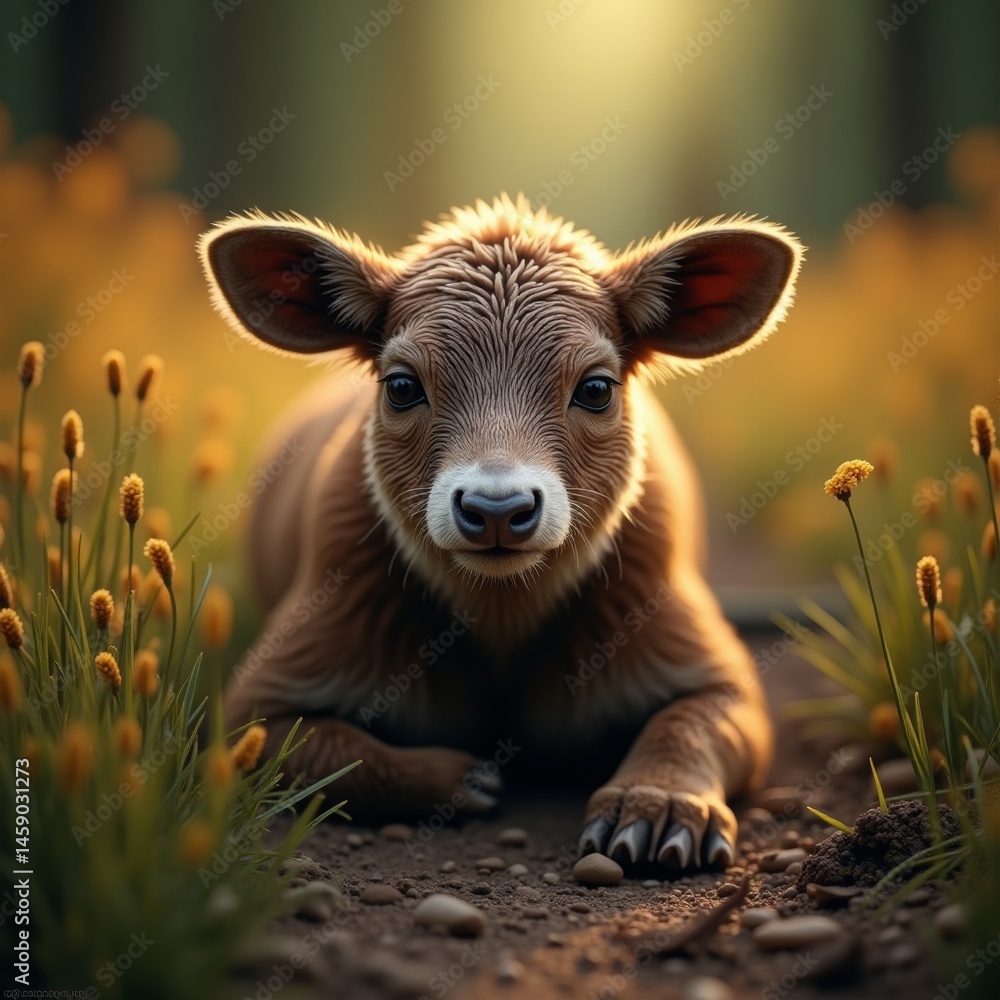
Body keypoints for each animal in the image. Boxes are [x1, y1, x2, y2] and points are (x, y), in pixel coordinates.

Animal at [198, 195, 803, 870]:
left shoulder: (713, 668)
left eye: (596, 388)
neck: (503, 612)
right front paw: (462, 778)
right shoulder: (263, 695)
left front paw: (657, 808)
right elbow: (333, 753)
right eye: (401, 385)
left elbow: (687, 727)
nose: (496, 509)